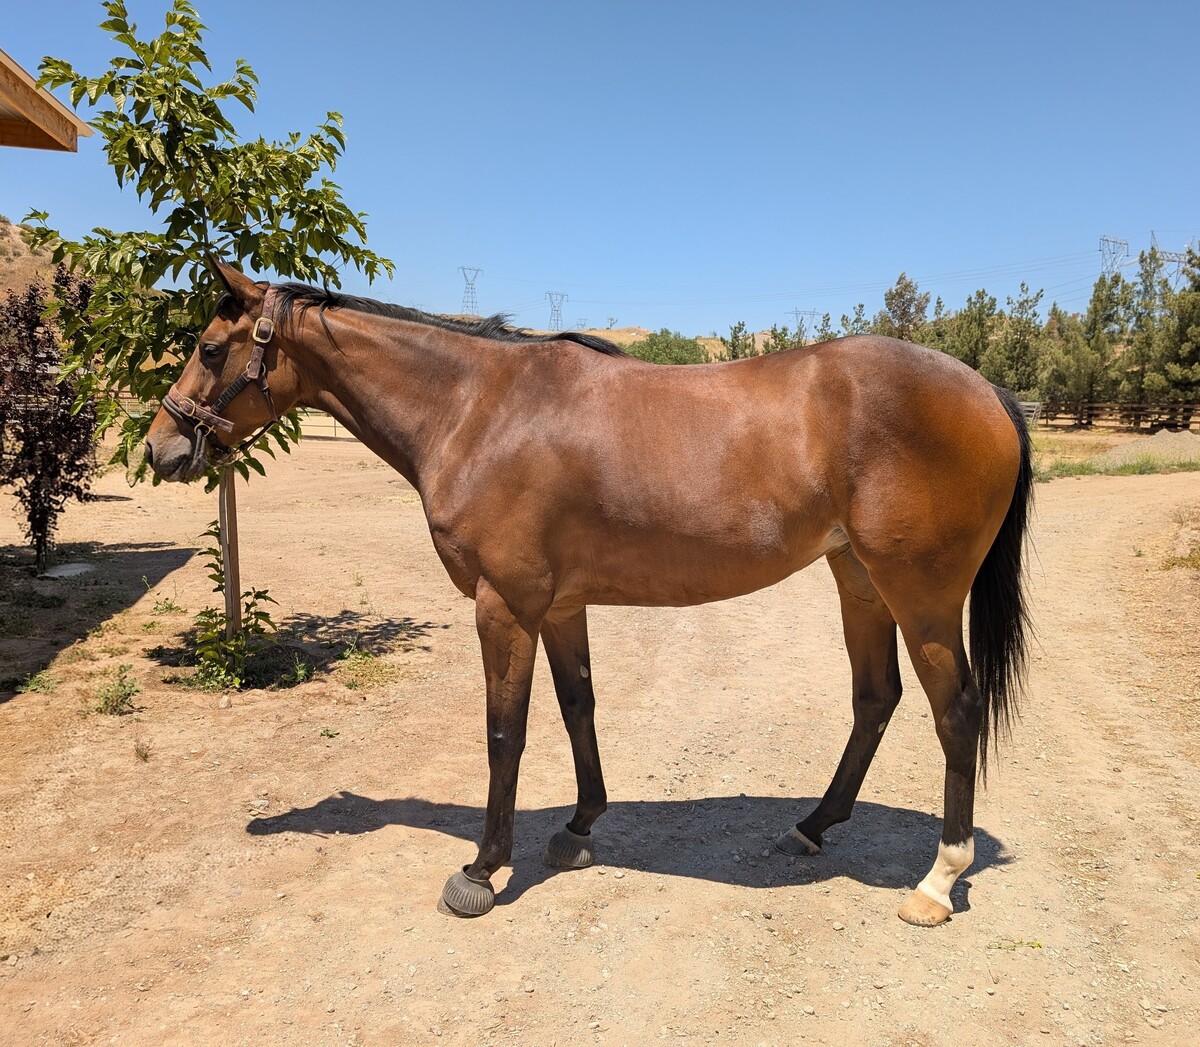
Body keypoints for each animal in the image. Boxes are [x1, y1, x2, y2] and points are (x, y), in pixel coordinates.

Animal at [146, 260, 1032, 927]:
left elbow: (504, 733)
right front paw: (577, 827)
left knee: (955, 713)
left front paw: (482, 868)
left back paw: (937, 880)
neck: (476, 409)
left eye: (211, 348)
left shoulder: (504, 605)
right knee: (875, 698)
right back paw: (811, 827)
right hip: (858, 580)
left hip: (919, 593)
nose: (160, 447)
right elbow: (579, 707)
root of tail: (989, 391)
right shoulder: (561, 606)